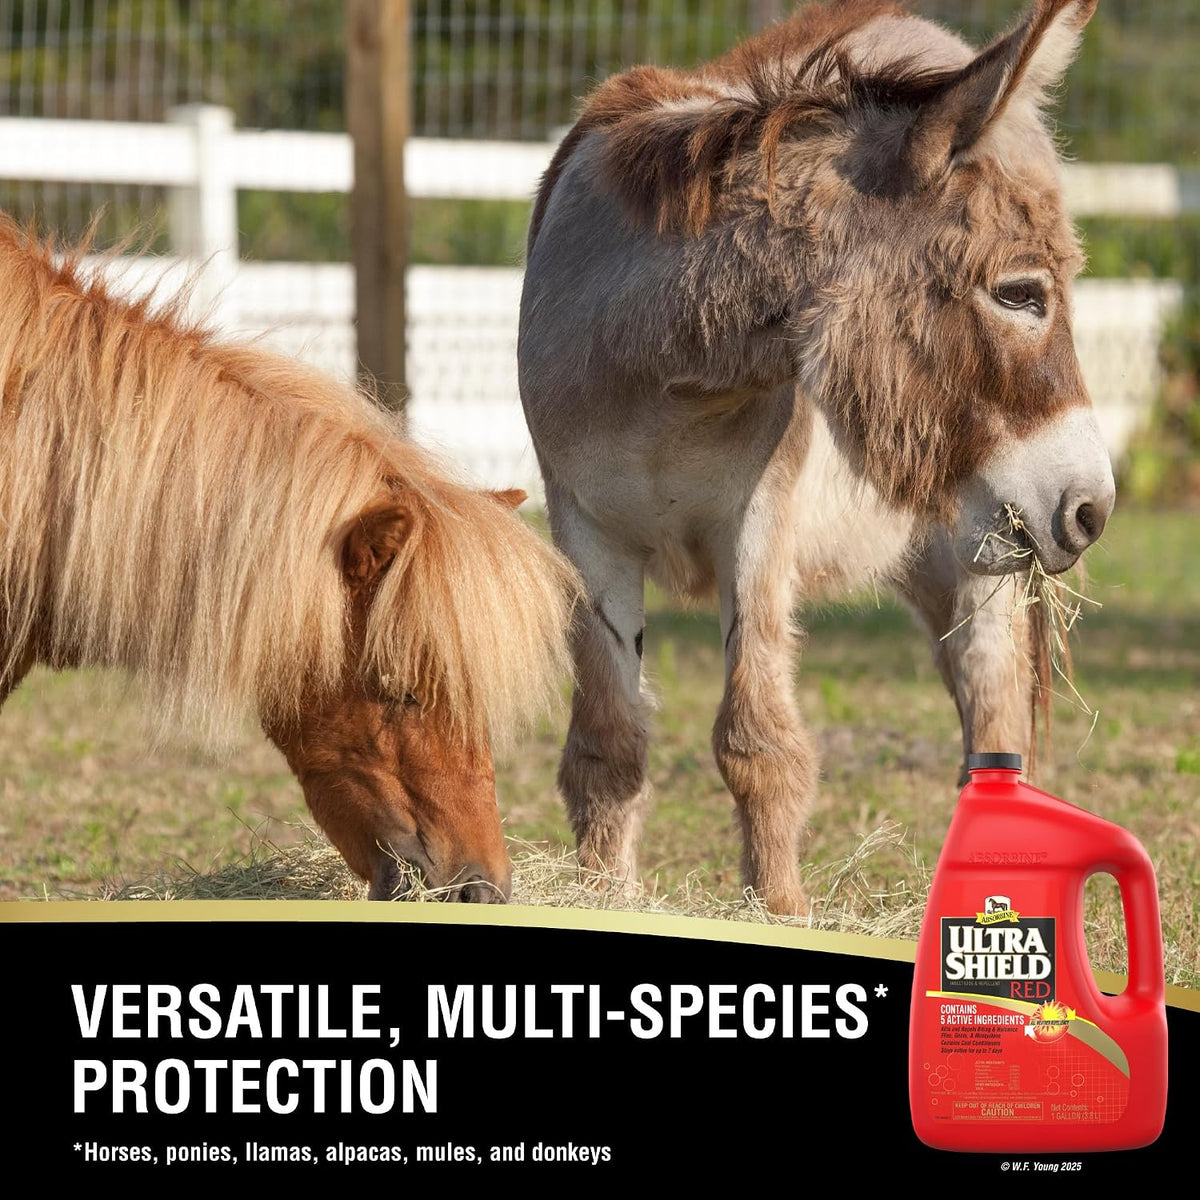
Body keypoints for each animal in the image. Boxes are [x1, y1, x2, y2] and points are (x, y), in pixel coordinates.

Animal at [518, 0, 1114, 915]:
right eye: (1021, 293)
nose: (1094, 511)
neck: (666, 382)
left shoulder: (761, 520)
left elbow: (759, 741)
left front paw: (780, 913)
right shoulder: (584, 526)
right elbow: (607, 742)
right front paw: (602, 896)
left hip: (981, 557)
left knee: (993, 700)